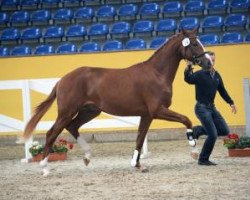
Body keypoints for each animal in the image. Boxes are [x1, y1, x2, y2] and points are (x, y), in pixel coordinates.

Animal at [23, 29, 212, 175]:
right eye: (194, 44)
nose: (208, 63)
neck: (157, 73)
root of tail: (62, 80)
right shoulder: (157, 110)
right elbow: (186, 119)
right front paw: (194, 150)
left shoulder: (147, 115)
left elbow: (140, 138)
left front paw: (138, 165)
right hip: (67, 112)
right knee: (52, 133)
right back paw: (45, 168)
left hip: (90, 111)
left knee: (72, 126)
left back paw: (87, 156)